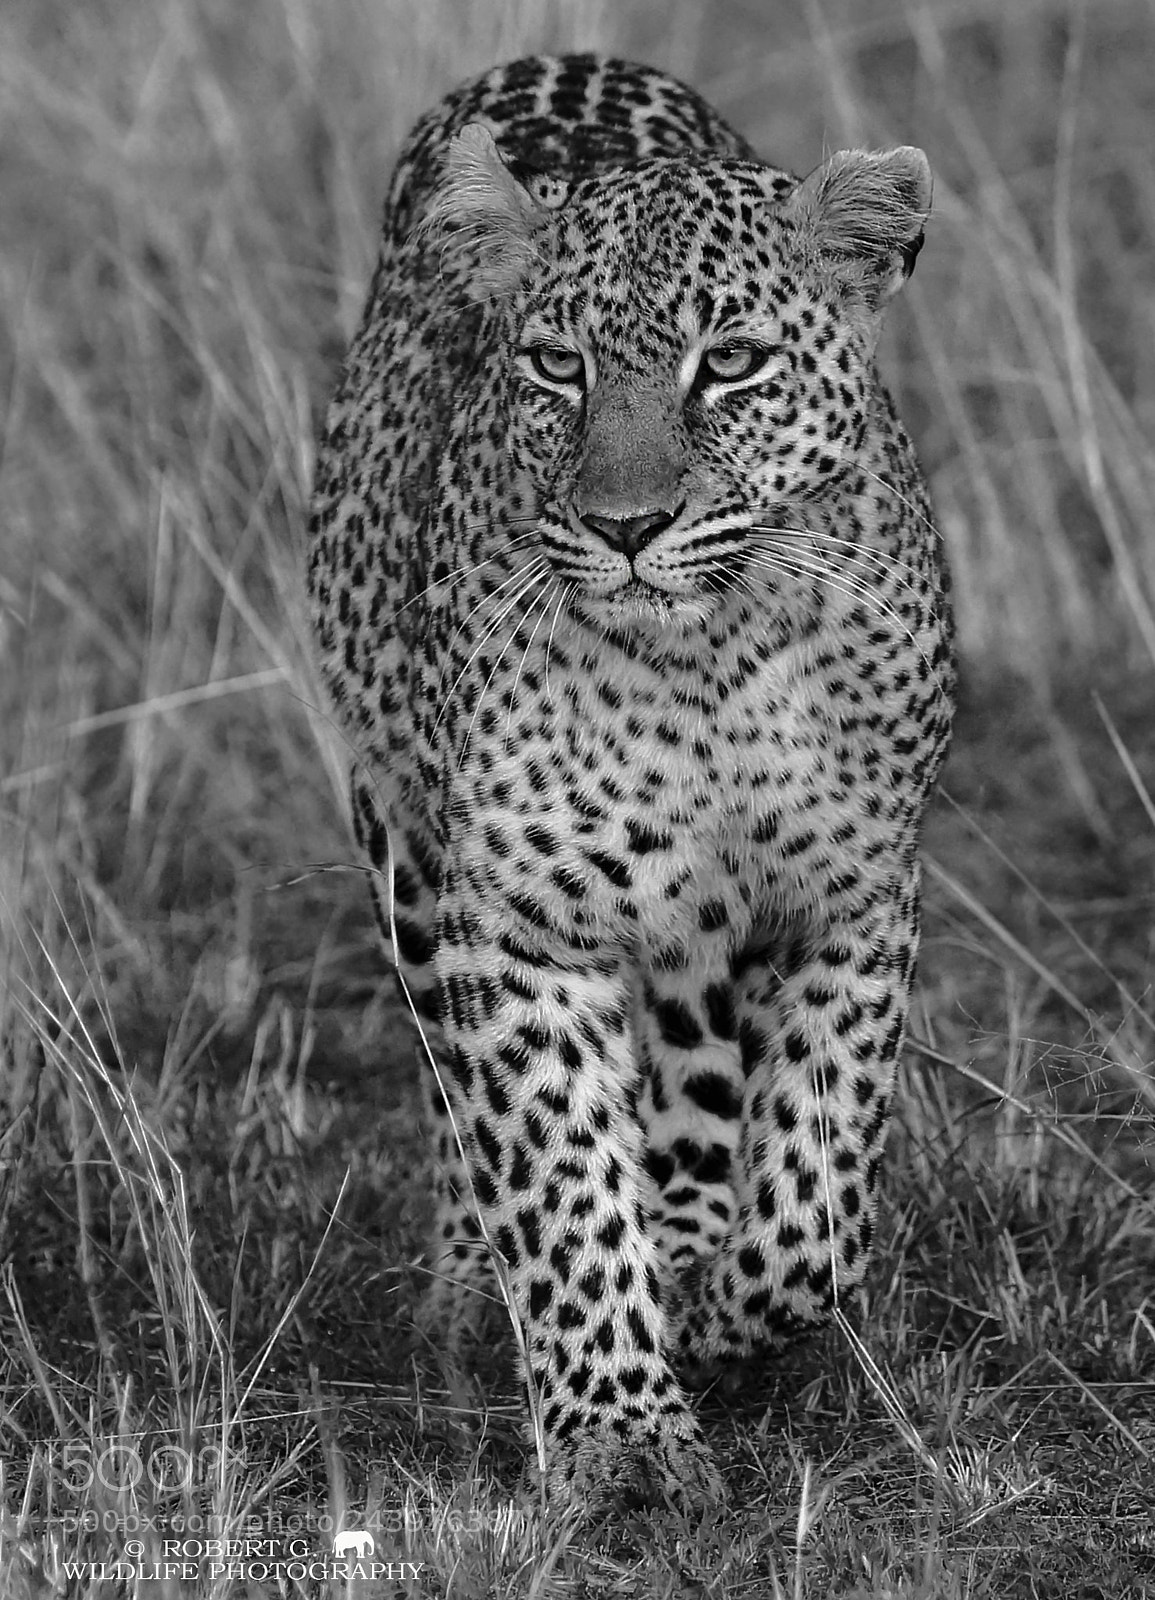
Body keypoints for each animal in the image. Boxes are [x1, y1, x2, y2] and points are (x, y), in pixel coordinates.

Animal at [307, 52, 955, 1511]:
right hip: (405, 846)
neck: (701, 666)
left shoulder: (852, 902)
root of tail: (566, 62)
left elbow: (816, 1197)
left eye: (730, 365)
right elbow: (551, 1171)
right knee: (465, 1116)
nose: (624, 527)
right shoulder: (519, 922)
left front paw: (713, 1308)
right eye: (559, 367)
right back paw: (469, 1298)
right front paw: (617, 1427)